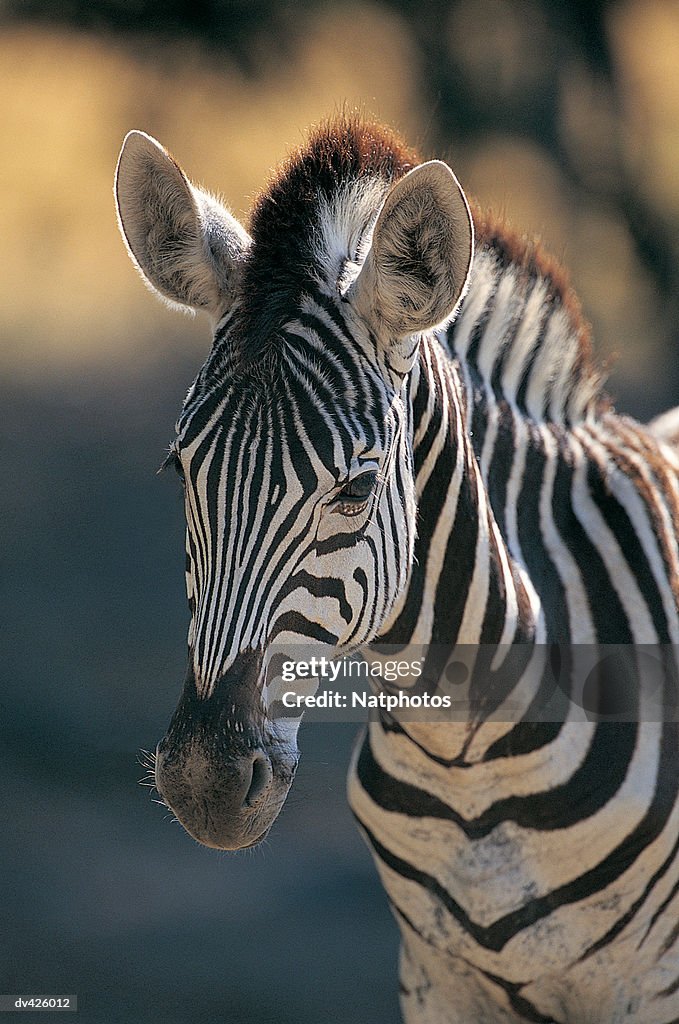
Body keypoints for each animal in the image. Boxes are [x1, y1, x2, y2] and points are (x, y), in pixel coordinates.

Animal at [115, 116, 679, 1019]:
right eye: (179, 471)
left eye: (354, 489)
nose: (203, 783)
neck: (465, 754)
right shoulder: (432, 982)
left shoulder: (648, 987)